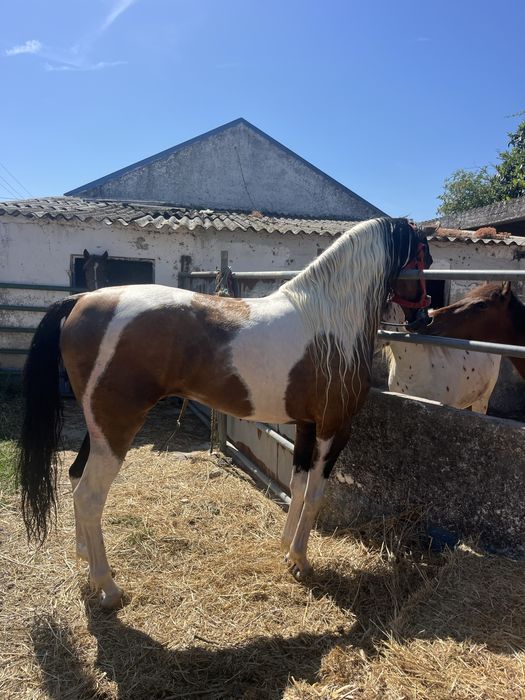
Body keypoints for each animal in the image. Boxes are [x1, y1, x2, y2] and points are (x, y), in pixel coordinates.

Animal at [17, 218, 432, 609]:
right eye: (424, 258)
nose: (423, 320)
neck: (328, 319)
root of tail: (81, 299)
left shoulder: (305, 426)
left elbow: (297, 486)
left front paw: (284, 548)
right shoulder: (334, 427)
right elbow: (316, 494)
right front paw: (300, 560)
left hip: (98, 427)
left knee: (75, 477)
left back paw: (85, 563)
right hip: (116, 427)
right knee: (89, 495)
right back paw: (107, 587)